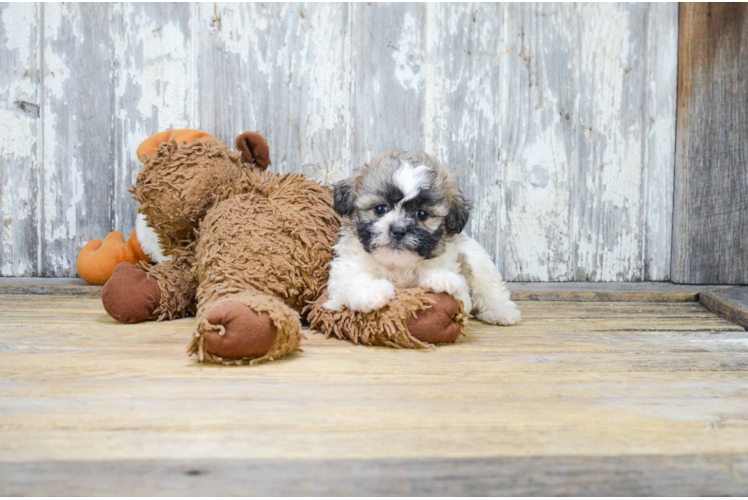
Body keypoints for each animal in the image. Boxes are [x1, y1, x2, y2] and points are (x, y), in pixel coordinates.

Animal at [324, 150, 524, 326]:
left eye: (421, 214)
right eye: (380, 209)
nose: (398, 230)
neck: (398, 267)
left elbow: (461, 296)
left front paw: (442, 279)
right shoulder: (343, 274)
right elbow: (351, 280)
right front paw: (371, 292)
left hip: (478, 261)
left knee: (490, 289)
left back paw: (502, 312)